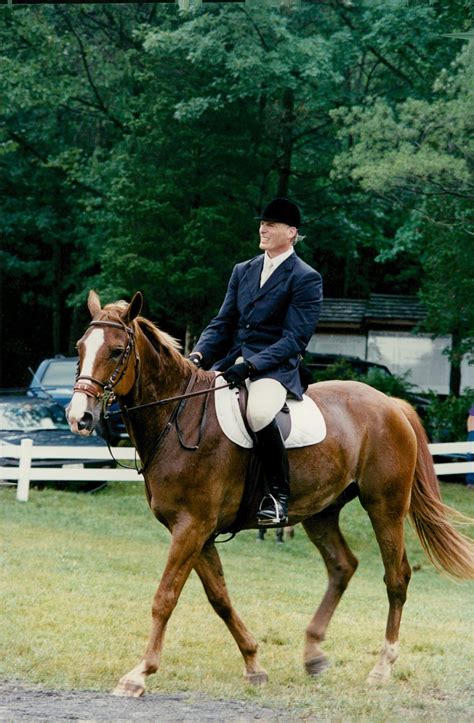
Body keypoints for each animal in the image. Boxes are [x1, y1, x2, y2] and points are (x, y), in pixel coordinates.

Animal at [67, 290, 474, 698]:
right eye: (80, 347)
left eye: (117, 351)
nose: (79, 418)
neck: (178, 418)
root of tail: (392, 404)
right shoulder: (196, 533)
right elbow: (219, 598)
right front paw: (253, 664)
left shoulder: (191, 527)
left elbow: (165, 597)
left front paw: (138, 674)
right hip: (321, 512)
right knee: (342, 566)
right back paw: (313, 654)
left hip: (384, 506)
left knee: (396, 577)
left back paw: (382, 667)